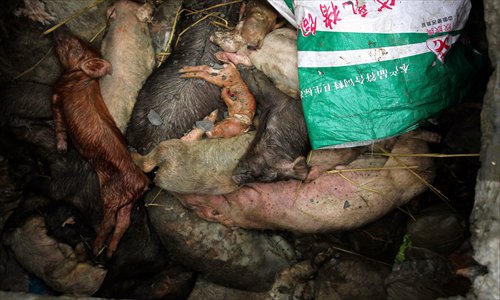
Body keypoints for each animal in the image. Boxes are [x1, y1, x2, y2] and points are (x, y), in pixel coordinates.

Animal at [51, 28, 148, 256]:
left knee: (110, 222)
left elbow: (58, 122)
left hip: (111, 195)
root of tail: (141, 182)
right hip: (127, 202)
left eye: (75, 47)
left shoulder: (56, 96)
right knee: (124, 222)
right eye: (81, 40)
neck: (78, 76)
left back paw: (96, 248)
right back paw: (110, 252)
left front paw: (61, 149)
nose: (59, 31)